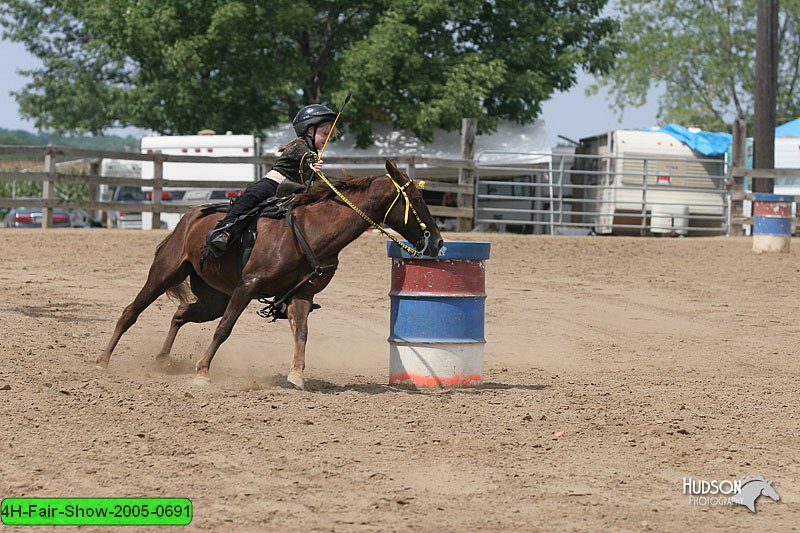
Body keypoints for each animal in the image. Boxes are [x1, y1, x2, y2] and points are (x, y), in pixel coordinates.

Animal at [97, 160, 444, 388]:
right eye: (417, 199)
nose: (438, 242)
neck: (309, 231)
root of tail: (190, 217)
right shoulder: (248, 286)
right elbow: (224, 330)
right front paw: (202, 372)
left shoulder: (302, 294)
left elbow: (301, 332)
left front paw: (297, 375)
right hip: (165, 273)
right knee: (131, 312)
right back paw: (103, 361)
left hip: (213, 298)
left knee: (181, 313)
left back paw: (161, 360)